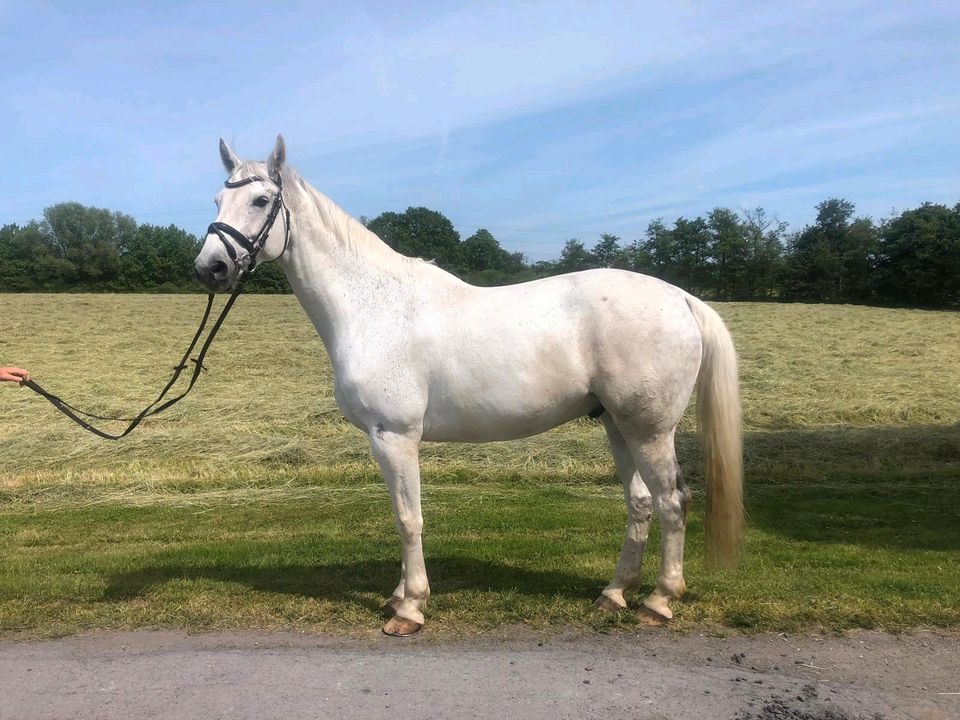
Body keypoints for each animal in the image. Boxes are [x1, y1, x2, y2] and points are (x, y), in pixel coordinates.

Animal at [195, 135, 748, 636]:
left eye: (260, 201)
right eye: (218, 200)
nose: (210, 268)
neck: (373, 306)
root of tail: (680, 298)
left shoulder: (394, 437)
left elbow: (408, 518)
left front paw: (410, 608)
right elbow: (404, 516)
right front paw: (399, 595)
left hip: (650, 429)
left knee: (672, 502)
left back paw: (659, 600)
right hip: (618, 425)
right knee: (640, 503)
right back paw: (614, 594)